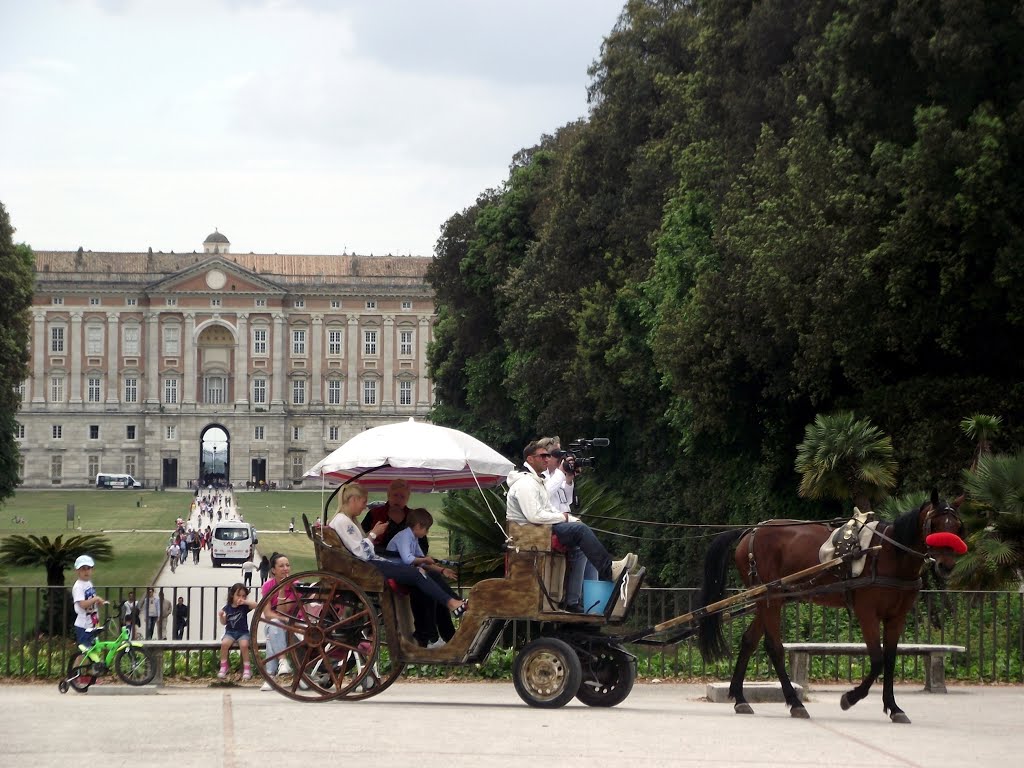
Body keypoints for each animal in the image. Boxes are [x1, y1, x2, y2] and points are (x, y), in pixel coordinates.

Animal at [696, 489, 966, 724]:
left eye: (957, 526)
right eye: (934, 525)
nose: (947, 565)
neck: (889, 552)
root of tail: (750, 532)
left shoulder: (896, 617)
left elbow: (889, 660)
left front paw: (893, 707)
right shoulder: (867, 613)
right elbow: (877, 659)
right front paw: (850, 697)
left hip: (772, 598)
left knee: (749, 641)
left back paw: (740, 697)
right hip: (768, 598)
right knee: (774, 647)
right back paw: (795, 702)